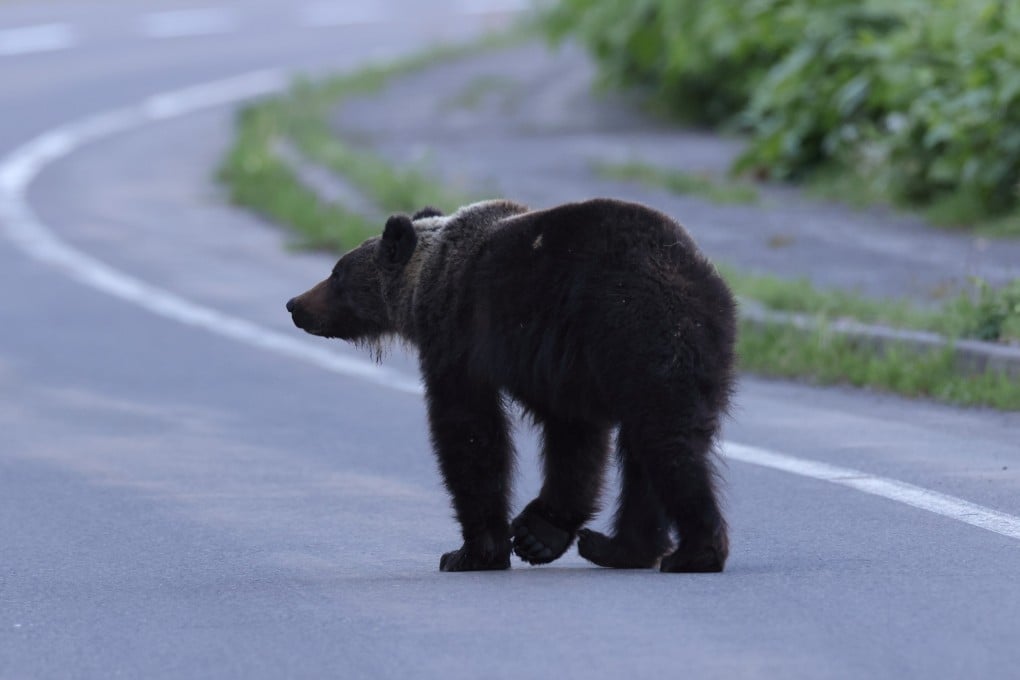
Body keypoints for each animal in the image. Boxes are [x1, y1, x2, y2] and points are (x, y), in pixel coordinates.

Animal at [286, 198, 736, 573]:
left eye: (336, 274)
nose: (295, 304)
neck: (424, 281)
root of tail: (699, 283)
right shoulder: (559, 365)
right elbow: (574, 437)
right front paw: (540, 534)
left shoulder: (465, 335)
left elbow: (469, 430)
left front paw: (473, 552)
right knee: (645, 448)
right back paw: (620, 548)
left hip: (637, 332)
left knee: (665, 441)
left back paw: (695, 552)